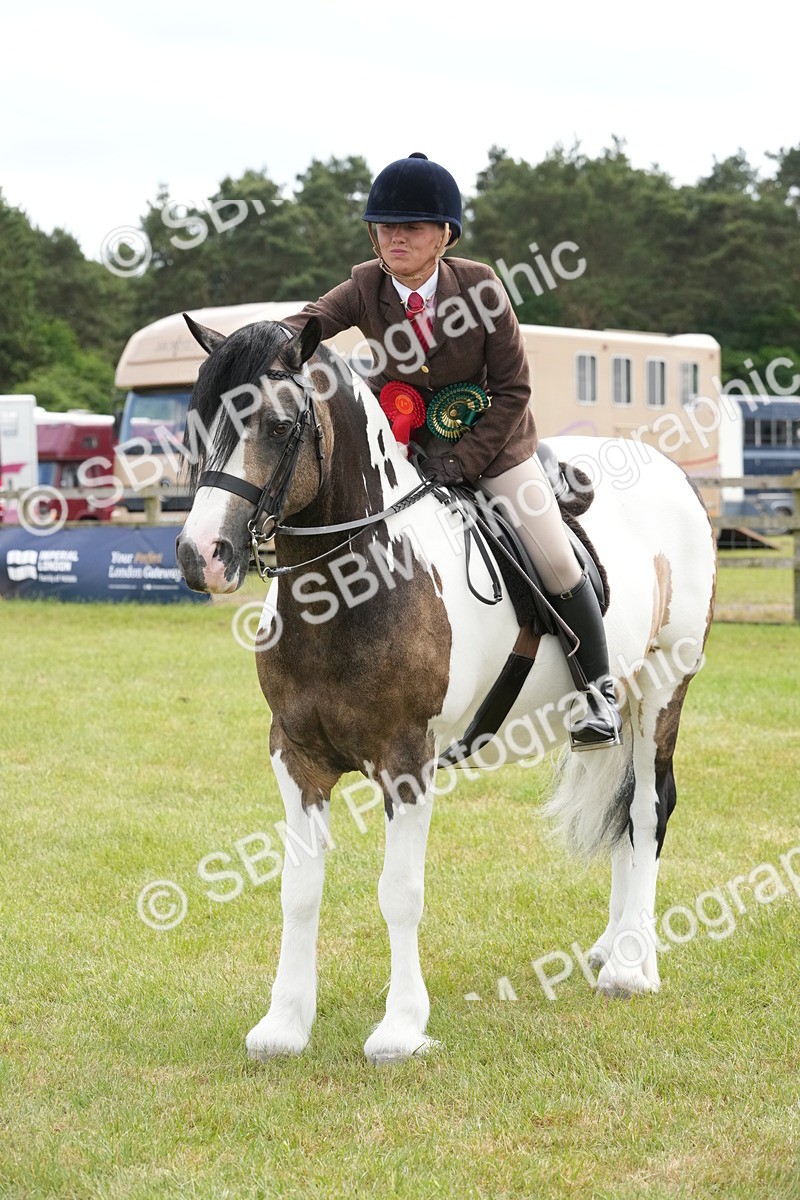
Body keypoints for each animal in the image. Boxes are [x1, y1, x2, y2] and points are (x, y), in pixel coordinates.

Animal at [175, 314, 717, 1064]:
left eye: (281, 427)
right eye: (198, 422)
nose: (202, 555)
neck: (350, 588)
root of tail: (668, 473)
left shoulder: (406, 760)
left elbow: (399, 891)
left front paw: (401, 1027)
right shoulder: (296, 755)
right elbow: (298, 889)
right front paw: (284, 1023)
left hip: (663, 688)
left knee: (647, 810)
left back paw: (633, 968)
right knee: (625, 812)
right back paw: (611, 948)